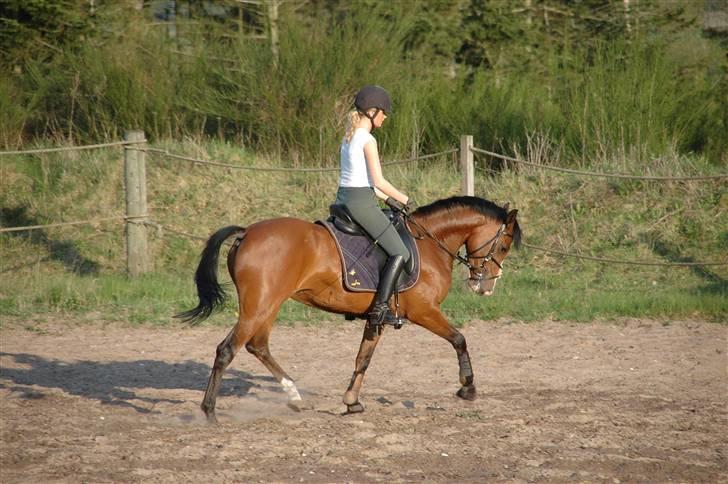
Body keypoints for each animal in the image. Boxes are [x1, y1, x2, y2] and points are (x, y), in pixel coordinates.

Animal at [177, 195, 521, 422]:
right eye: (504, 246)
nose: (485, 287)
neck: (429, 242)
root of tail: (246, 232)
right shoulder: (424, 311)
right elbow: (459, 339)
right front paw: (468, 387)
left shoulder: (377, 316)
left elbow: (363, 358)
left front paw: (351, 402)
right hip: (260, 305)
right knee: (228, 349)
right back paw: (210, 412)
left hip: (267, 305)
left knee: (257, 345)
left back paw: (293, 395)